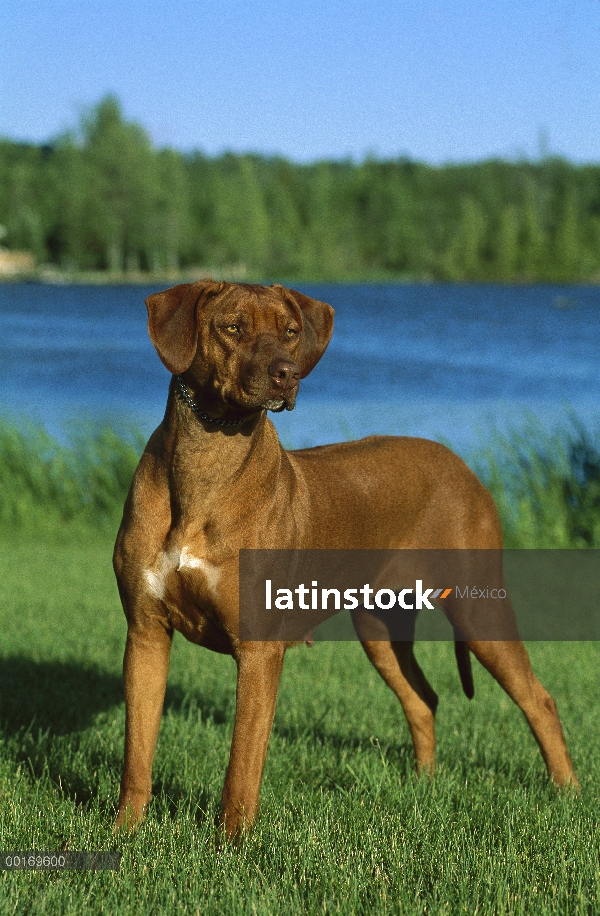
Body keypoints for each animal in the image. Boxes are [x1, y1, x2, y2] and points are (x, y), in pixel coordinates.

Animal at [112, 280, 576, 836]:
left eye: (291, 331)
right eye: (233, 327)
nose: (286, 373)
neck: (206, 463)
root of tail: (463, 465)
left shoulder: (259, 650)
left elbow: (241, 768)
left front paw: (232, 845)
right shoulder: (145, 634)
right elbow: (137, 755)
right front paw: (124, 834)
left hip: (478, 608)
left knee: (539, 699)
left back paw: (567, 794)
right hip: (379, 626)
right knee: (423, 699)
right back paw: (423, 787)